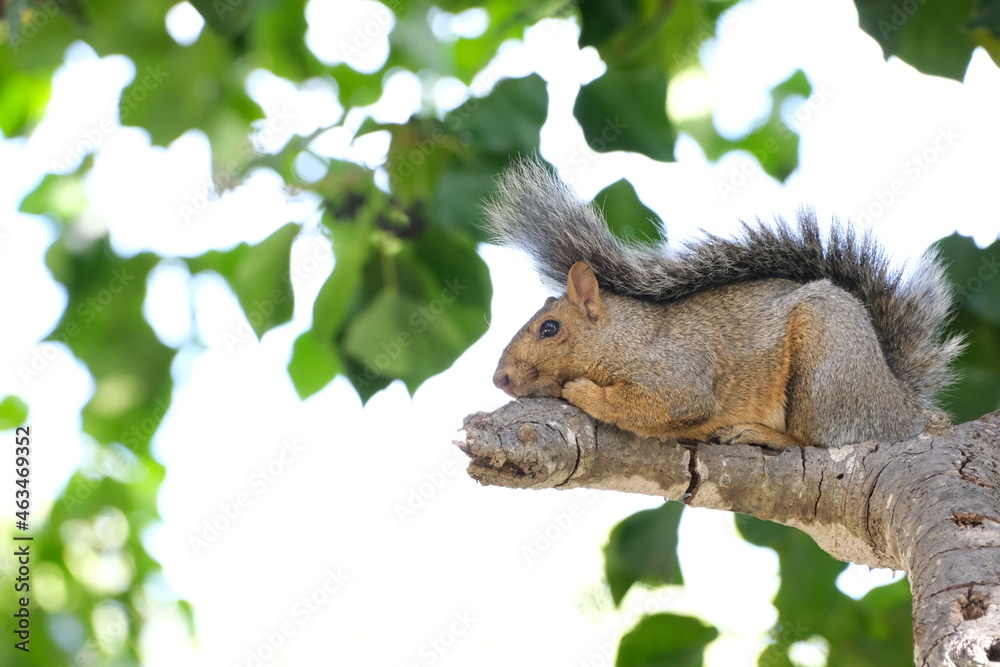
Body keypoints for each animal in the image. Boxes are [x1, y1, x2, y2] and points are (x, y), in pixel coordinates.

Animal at [488, 157, 964, 448]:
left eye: (550, 328)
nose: (500, 379)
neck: (623, 337)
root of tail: (901, 402)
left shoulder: (676, 373)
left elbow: (661, 405)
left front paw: (582, 392)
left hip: (826, 365)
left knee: (814, 439)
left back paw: (764, 435)